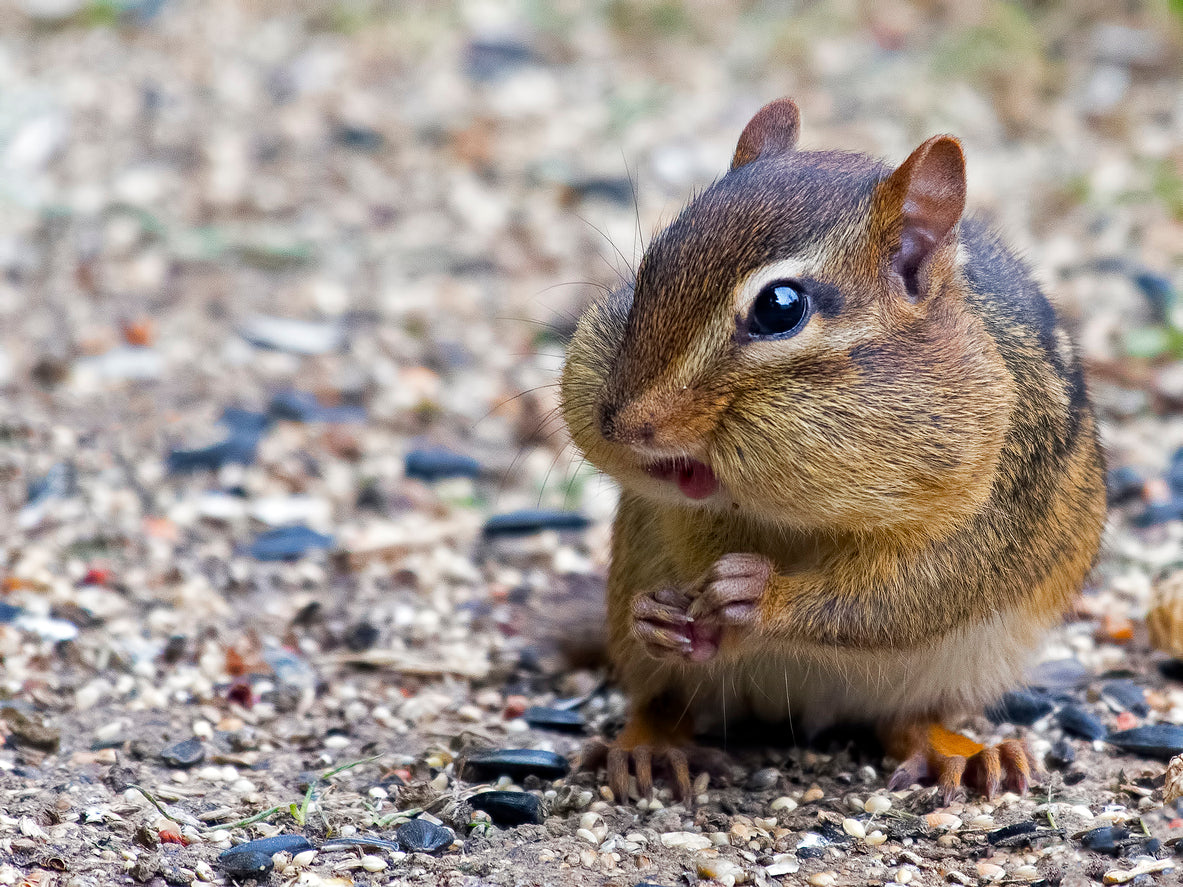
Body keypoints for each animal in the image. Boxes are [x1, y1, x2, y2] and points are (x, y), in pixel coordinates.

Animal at [560, 97, 1106, 804]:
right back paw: (649, 746)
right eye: (650, 268)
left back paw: (967, 753)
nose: (622, 424)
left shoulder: (988, 519)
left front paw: (755, 596)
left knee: (906, 722)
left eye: (780, 307)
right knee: (664, 702)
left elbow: (899, 596)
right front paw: (658, 613)